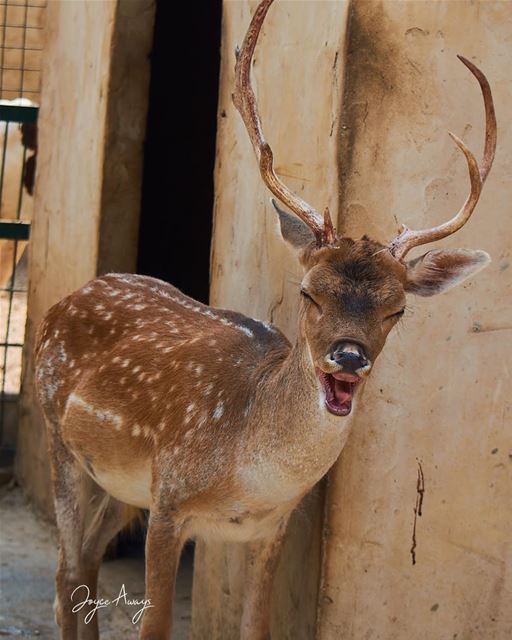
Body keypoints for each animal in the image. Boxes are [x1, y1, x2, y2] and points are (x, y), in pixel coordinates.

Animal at [33, 1, 496, 640]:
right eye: (308, 293)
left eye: (397, 309)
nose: (348, 357)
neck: (247, 482)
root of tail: (68, 297)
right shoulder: (170, 500)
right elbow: (155, 625)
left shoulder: (270, 528)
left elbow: (257, 624)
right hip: (57, 435)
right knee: (65, 570)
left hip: (118, 482)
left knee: (85, 563)